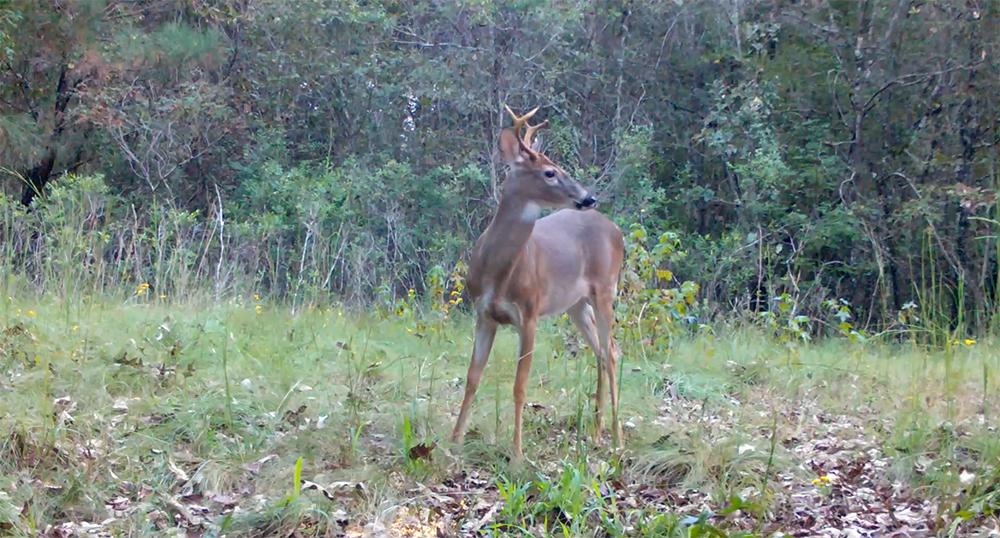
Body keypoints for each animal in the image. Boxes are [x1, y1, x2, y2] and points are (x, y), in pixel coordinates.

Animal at [452, 105, 624, 460]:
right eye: (549, 172)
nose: (589, 197)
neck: (497, 272)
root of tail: (616, 229)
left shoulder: (529, 312)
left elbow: (520, 386)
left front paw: (517, 454)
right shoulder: (483, 313)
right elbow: (473, 377)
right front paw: (454, 441)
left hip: (606, 289)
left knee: (613, 351)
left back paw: (617, 437)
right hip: (575, 303)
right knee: (602, 351)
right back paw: (596, 432)